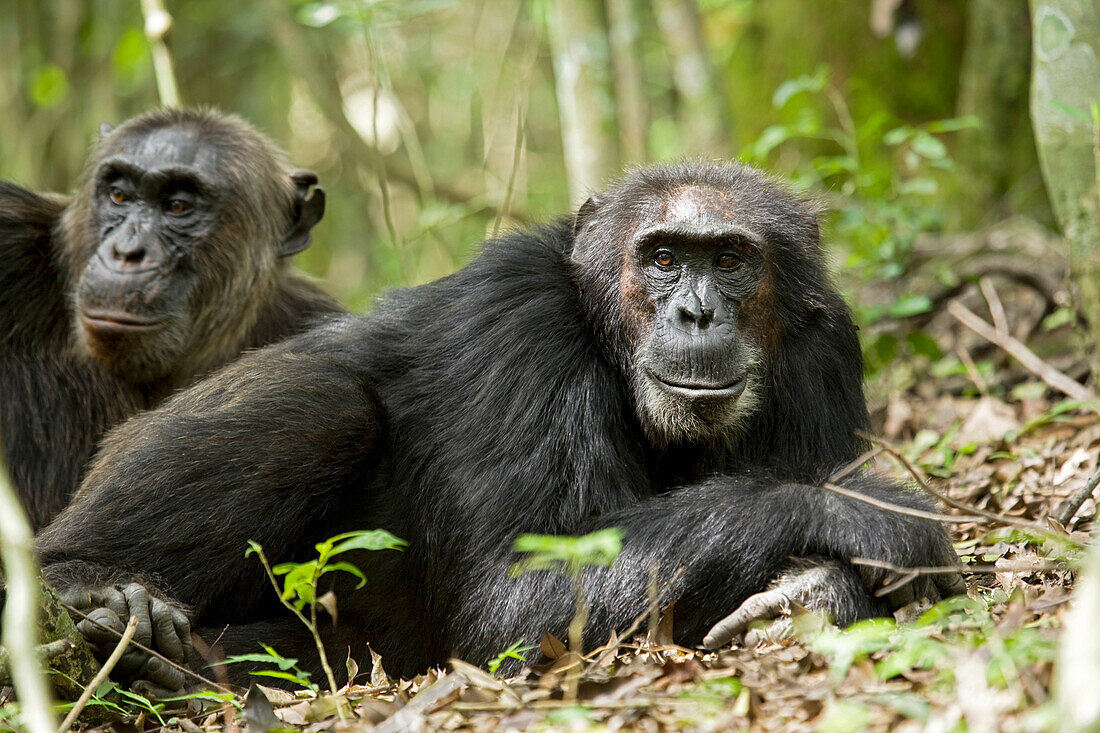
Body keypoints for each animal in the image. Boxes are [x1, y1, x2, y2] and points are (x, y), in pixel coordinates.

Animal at [34, 161, 963, 691]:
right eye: (663, 257)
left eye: (731, 258)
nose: (697, 312)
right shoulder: (517, 319)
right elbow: (522, 588)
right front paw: (875, 517)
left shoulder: (824, 344)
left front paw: (815, 592)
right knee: (323, 403)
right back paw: (95, 592)